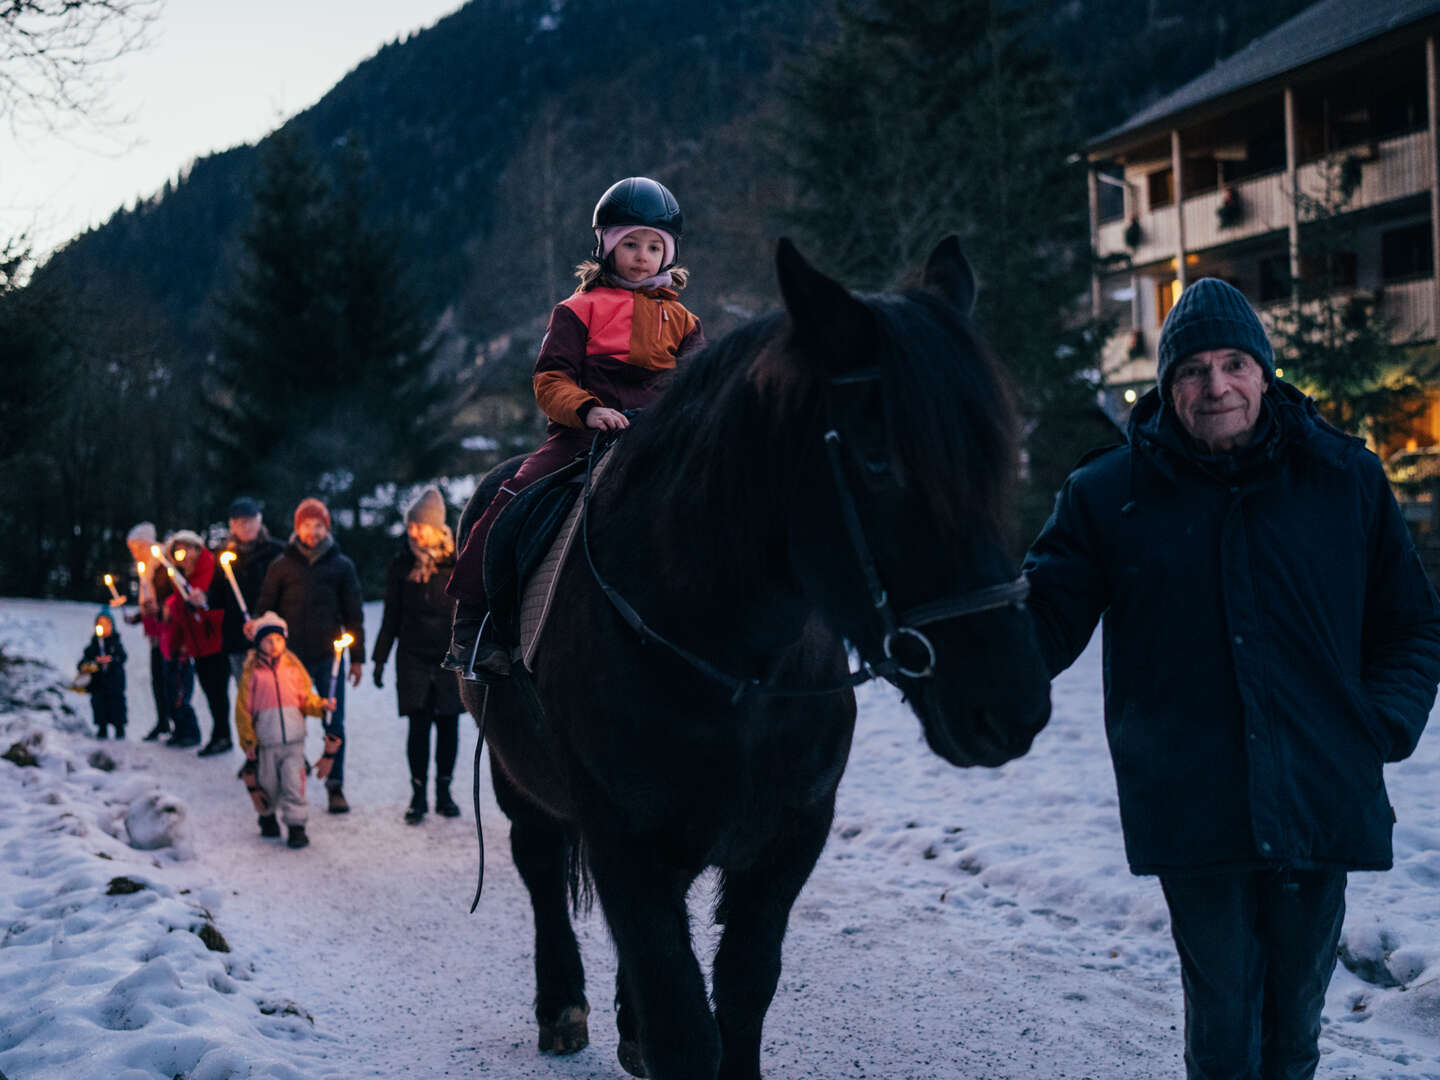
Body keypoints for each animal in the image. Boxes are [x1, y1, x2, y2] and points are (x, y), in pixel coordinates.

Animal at [457, 239, 1048, 1080]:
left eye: (996, 456)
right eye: (877, 461)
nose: (1013, 705)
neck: (730, 669)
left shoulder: (787, 840)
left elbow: (739, 992)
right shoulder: (624, 842)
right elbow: (683, 1026)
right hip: (518, 777)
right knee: (539, 867)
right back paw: (562, 1005)